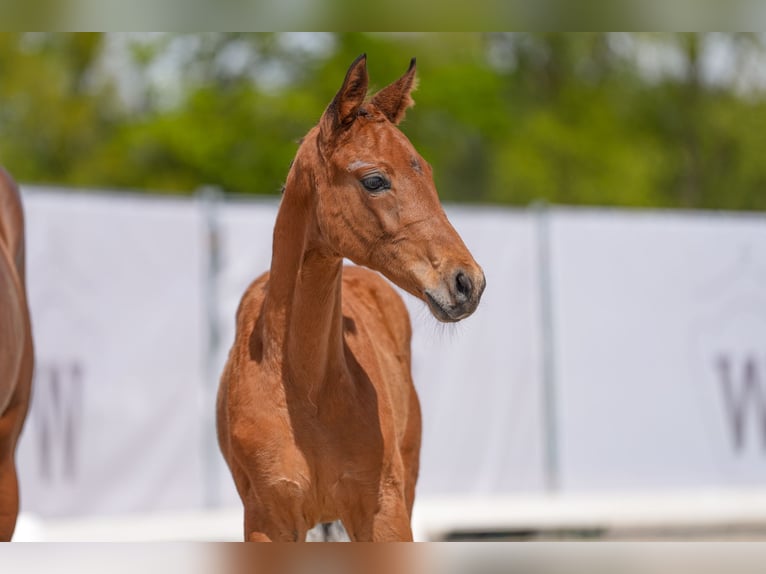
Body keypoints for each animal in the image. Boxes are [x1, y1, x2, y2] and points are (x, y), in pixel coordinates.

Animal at [216, 56, 486, 544]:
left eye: (426, 171)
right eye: (375, 180)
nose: (467, 282)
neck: (305, 389)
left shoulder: (384, 510)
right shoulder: (267, 521)